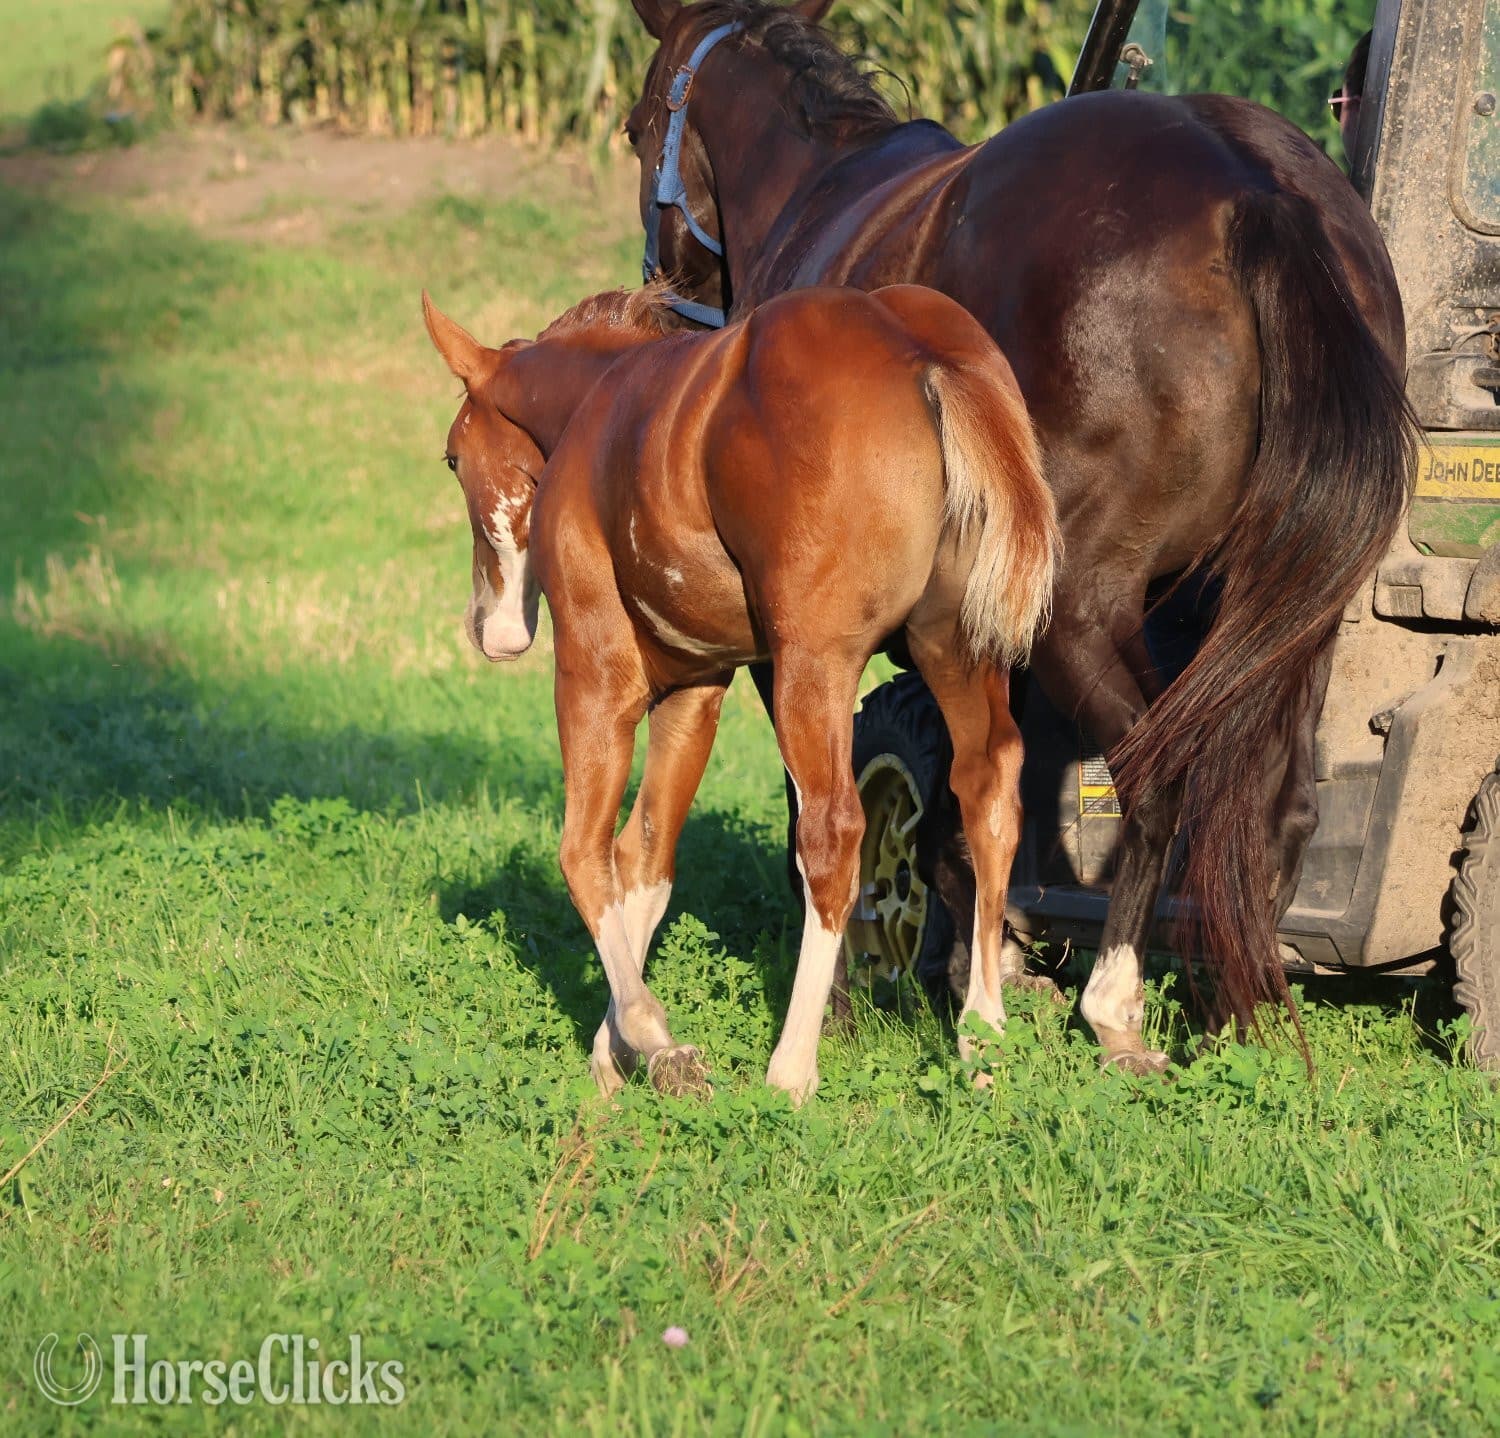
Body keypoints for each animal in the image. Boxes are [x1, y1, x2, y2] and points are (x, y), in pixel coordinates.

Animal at [423, 281, 1059, 1102]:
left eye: (452, 458)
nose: (490, 629)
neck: (599, 408)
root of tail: (921, 349)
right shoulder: (696, 689)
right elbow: (647, 858)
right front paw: (616, 1050)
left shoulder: (596, 674)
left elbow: (585, 853)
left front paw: (649, 1038)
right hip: (955, 649)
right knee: (988, 791)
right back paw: (983, 1037)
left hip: (811, 667)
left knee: (832, 831)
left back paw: (791, 1068)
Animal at [623, 0, 1419, 1068]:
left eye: (635, 127)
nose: (666, 302)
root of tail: (1254, 189)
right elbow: (979, 794)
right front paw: (980, 966)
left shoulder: (809, 634)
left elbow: (828, 804)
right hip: (1285, 623)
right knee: (1273, 803)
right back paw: (1230, 1016)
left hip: (1081, 608)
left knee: (1160, 780)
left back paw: (1118, 1008)